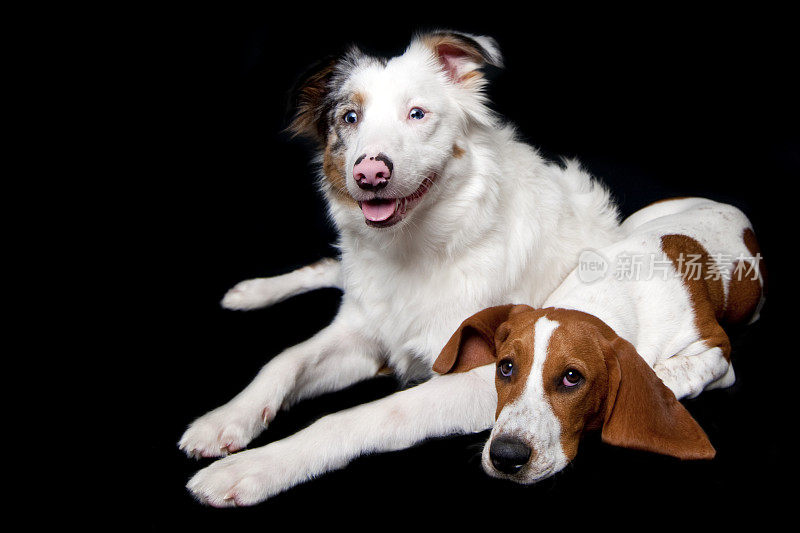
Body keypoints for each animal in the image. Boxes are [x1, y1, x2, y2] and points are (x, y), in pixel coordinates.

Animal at [180, 31, 620, 504]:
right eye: (350, 117)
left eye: (417, 114)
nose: (370, 173)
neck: (417, 249)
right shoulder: (362, 337)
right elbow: (284, 360)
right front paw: (225, 418)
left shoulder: (486, 377)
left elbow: (359, 416)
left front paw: (253, 467)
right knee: (331, 268)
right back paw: (250, 292)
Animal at [434, 196, 764, 482]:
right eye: (506, 367)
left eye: (571, 377)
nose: (505, 455)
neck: (604, 295)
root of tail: (724, 206)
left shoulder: (718, 354)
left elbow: (670, 372)